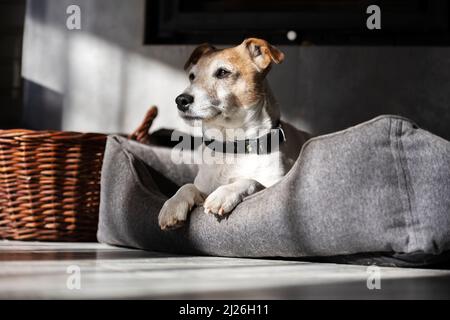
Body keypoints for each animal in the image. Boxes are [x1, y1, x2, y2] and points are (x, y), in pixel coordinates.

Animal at [158, 37, 310, 230]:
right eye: (192, 77)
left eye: (223, 72)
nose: (181, 100)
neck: (231, 146)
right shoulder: (202, 185)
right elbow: (187, 186)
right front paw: (173, 205)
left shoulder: (273, 184)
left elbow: (250, 181)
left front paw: (224, 193)